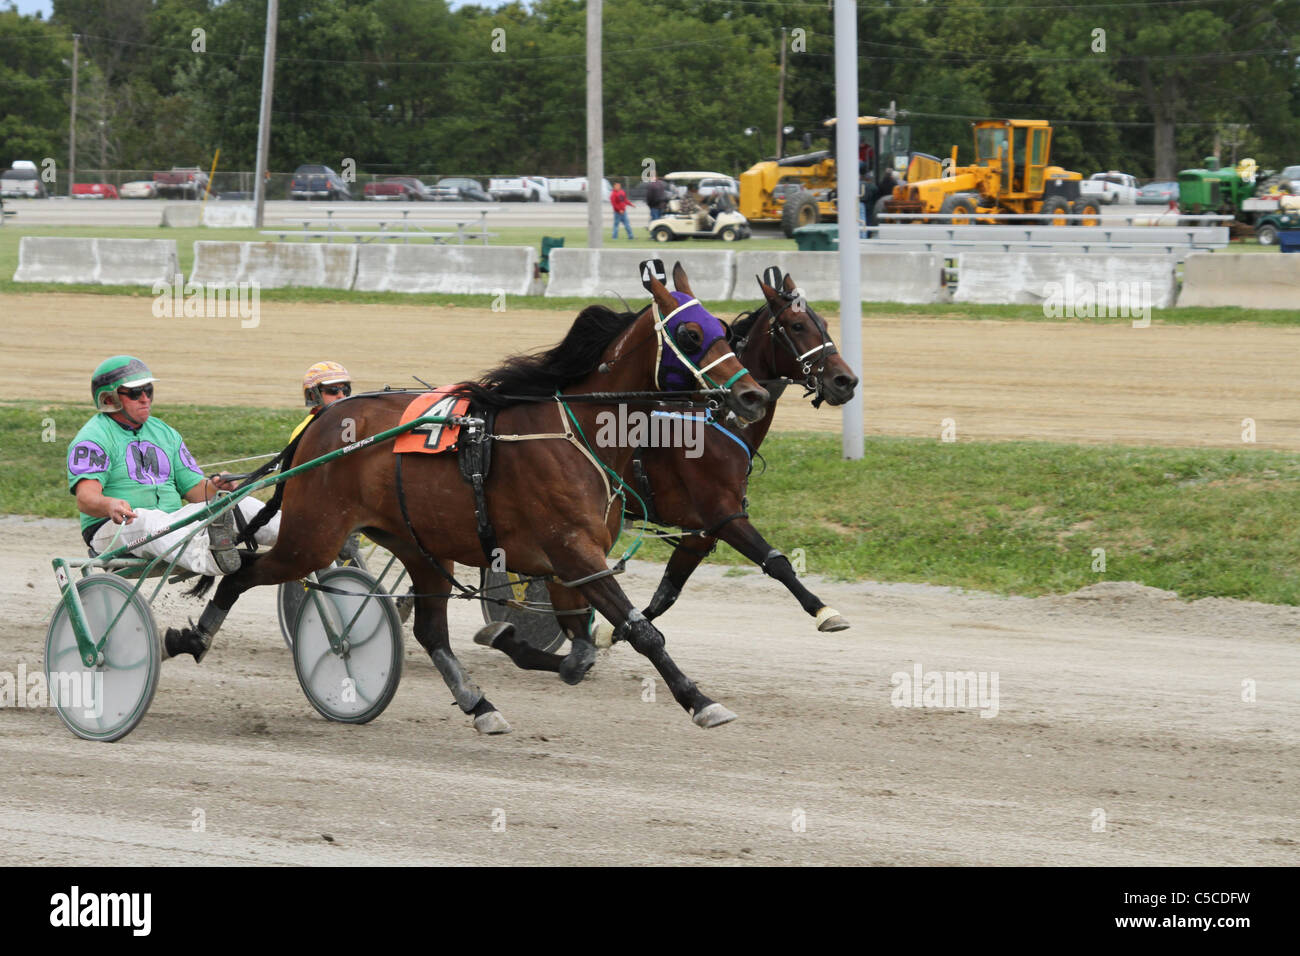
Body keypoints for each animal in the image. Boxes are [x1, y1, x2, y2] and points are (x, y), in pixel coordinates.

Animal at [166, 265, 764, 738]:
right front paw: (700, 701)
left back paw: (480, 705)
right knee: (242, 575)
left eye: (725, 329)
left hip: (420, 547)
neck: (576, 432)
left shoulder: (571, 563)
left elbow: (581, 651)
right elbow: (641, 630)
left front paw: (512, 639)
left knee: (430, 631)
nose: (752, 394)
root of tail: (321, 422)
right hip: (314, 535)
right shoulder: (575, 553)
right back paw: (191, 638)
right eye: (690, 332)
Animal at [478, 265, 863, 676]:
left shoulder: (701, 531)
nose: (845, 380)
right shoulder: (723, 514)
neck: (713, 420)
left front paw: (610, 634)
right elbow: (775, 561)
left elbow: (666, 593)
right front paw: (825, 611)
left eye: (824, 323)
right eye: (796, 325)